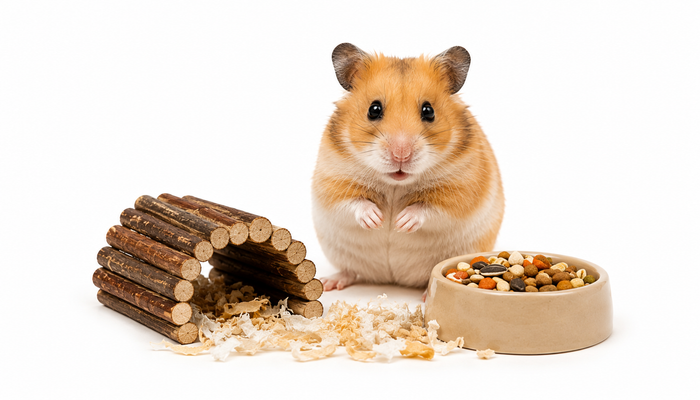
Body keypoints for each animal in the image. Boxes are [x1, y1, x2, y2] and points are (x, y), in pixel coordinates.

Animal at [312, 43, 505, 293]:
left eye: (429, 111)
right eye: (374, 109)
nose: (401, 154)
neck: (396, 183)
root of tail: (393, 279)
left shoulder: (460, 190)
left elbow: (428, 207)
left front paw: (400, 223)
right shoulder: (332, 181)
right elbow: (354, 202)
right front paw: (377, 220)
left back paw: (425, 293)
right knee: (351, 271)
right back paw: (330, 283)